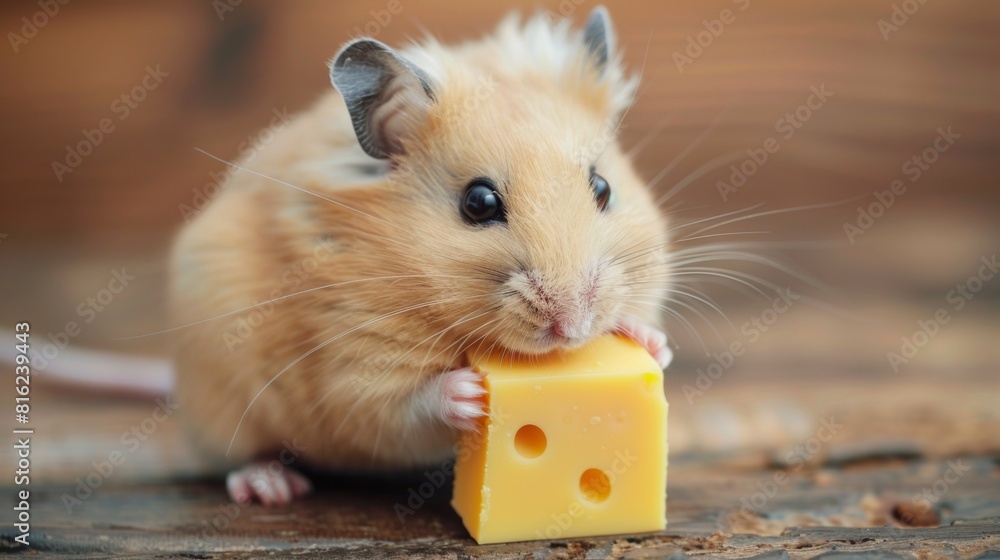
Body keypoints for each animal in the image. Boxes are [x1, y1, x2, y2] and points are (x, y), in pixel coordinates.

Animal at [170, 6, 673, 505]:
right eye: (478, 203)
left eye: (603, 188)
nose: (573, 329)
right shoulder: (352, 365)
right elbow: (402, 409)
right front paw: (470, 392)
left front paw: (649, 341)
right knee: (240, 455)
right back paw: (272, 487)